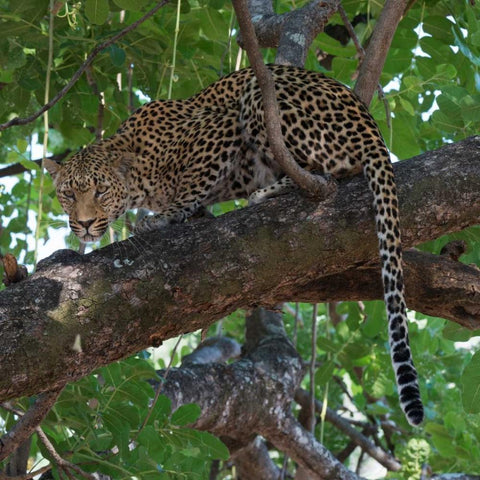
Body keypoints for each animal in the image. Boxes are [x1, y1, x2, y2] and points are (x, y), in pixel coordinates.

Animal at [46, 64, 424, 428]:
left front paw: (166, 216)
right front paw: (193, 214)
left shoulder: (217, 127)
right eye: (68, 194)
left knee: (326, 173)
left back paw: (265, 192)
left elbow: (193, 182)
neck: (138, 172)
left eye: (100, 191)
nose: (83, 224)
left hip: (261, 94)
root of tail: (371, 127)